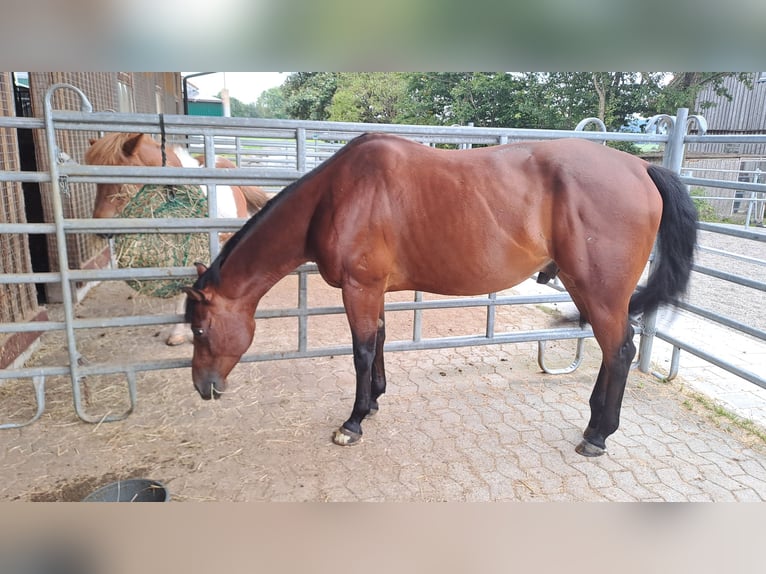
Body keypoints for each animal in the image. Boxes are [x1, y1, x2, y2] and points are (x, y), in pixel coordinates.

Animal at [183, 133, 698, 457]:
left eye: (200, 330)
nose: (204, 388)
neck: (337, 196)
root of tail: (642, 167)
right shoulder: (373, 290)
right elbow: (379, 342)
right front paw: (373, 401)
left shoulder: (359, 287)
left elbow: (361, 351)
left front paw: (353, 422)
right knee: (614, 349)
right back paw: (595, 423)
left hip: (599, 288)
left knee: (620, 350)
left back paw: (598, 436)